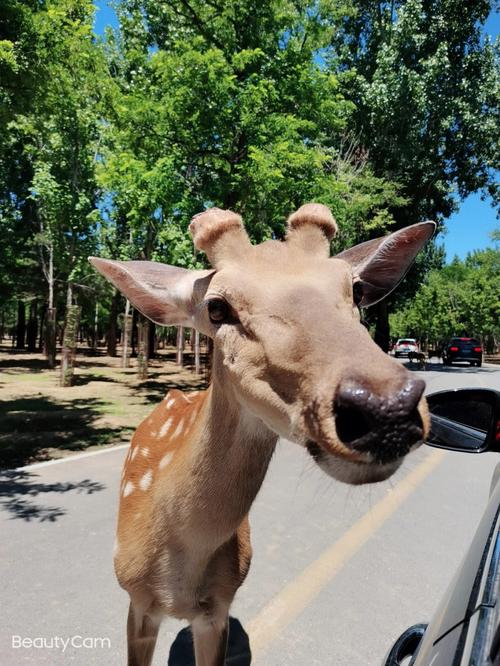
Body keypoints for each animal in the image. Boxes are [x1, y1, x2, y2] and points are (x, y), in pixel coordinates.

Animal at [92, 202, 436, 664]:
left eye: (357, 290)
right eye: (217, 308)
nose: (387, 406)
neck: (179, 575)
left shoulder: (219, 606)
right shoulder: (136, 600)